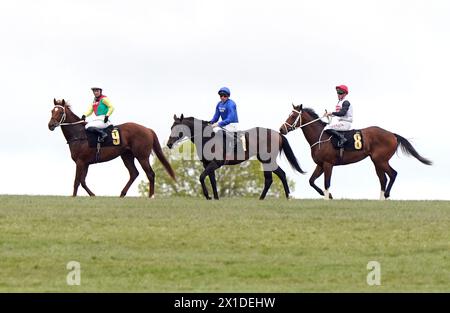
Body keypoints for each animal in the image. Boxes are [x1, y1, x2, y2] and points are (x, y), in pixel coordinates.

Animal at [166, 114, 306, 200]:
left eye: (178, 128)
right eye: (171, 127)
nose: (169, 144)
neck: (207, 138)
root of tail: (278, 133)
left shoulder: (215, 163)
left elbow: (201, 177)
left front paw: (207, 196)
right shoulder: (208, 165)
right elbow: (212, 181)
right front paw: (215, 198)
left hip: (267, 160)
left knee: (274, 177)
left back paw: (278, 197)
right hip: (265, 160)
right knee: (276, 176)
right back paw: (274, 197)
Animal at [280, 103, 430, 199]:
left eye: (293, 116)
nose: (282, 129)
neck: (320, 136)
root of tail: (392, 134)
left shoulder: (328, 164)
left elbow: (327, 183)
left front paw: (327, 197)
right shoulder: (320, 165)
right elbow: (311, 181)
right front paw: (327, 195)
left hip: (380, 160)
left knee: (393, 174)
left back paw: (386, 195)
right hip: (377, 162)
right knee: (383, 179)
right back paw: (381, 199)